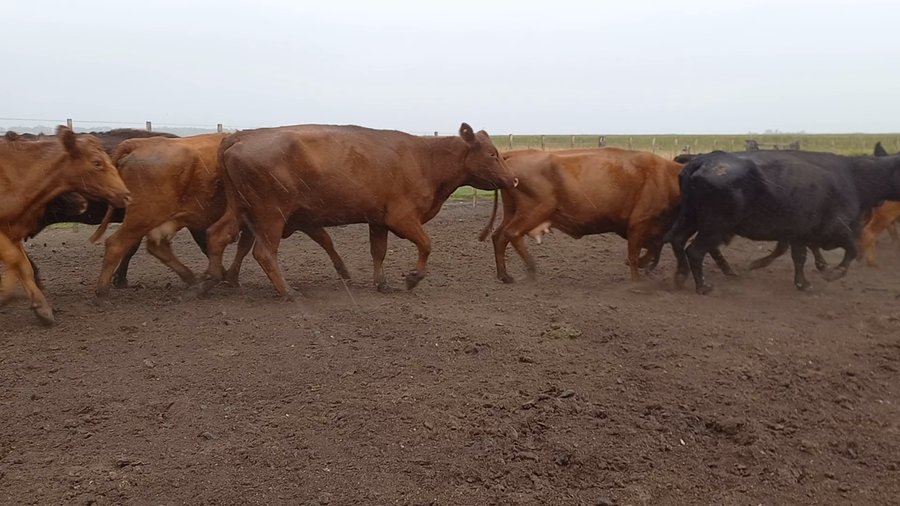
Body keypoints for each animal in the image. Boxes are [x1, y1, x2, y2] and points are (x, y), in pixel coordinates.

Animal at [0, 126, 130, 325]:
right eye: (97, 163)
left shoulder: (12, 229)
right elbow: (15, 259)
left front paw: (41, 308)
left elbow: (22, 264)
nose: (126, 195)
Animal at [89, 133, 350, 297]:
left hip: (163, 218)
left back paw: (191, 278)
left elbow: (243, 246)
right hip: (146, 214)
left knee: (153, 246)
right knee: (119, 244)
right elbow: (324, 239)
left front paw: (229, 276)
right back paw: (103, 290)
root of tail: (138, 144)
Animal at [196, 123, 518, 300]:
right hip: (271, 213)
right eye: (492, 154)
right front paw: (413, 277)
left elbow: (379, 252)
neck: (426, 158)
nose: (513, 179)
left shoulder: (379, 220)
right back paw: (287, 291)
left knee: (217, 235)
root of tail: (239, 136)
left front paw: (382, 283)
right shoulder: (402, 218)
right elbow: (426, 244)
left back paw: (210, 280)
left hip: (240, 208)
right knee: (263, 253)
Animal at [477, 148, 737, 283]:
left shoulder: (659, 229)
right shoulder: (639, 223)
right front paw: (637, 280)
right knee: (511, 234)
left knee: (499, 236)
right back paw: (530, 267)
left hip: (514, 212)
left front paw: (646, 265)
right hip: (534, 210)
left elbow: (655, 248)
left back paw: (505, 275)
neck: (670, 179)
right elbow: (635, 253)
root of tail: (514, 155)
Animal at [665, 150, 900, 294]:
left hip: (692, 218)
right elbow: (851, 250)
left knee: (677, 240)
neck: (854, 176)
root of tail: (701, 161)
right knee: (695, 250)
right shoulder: (837, 230)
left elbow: (798, 256)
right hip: (715, 225)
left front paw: (803, 282)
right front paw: (832, 273)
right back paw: (703, 286)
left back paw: (682, 275)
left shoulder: (799, 233)